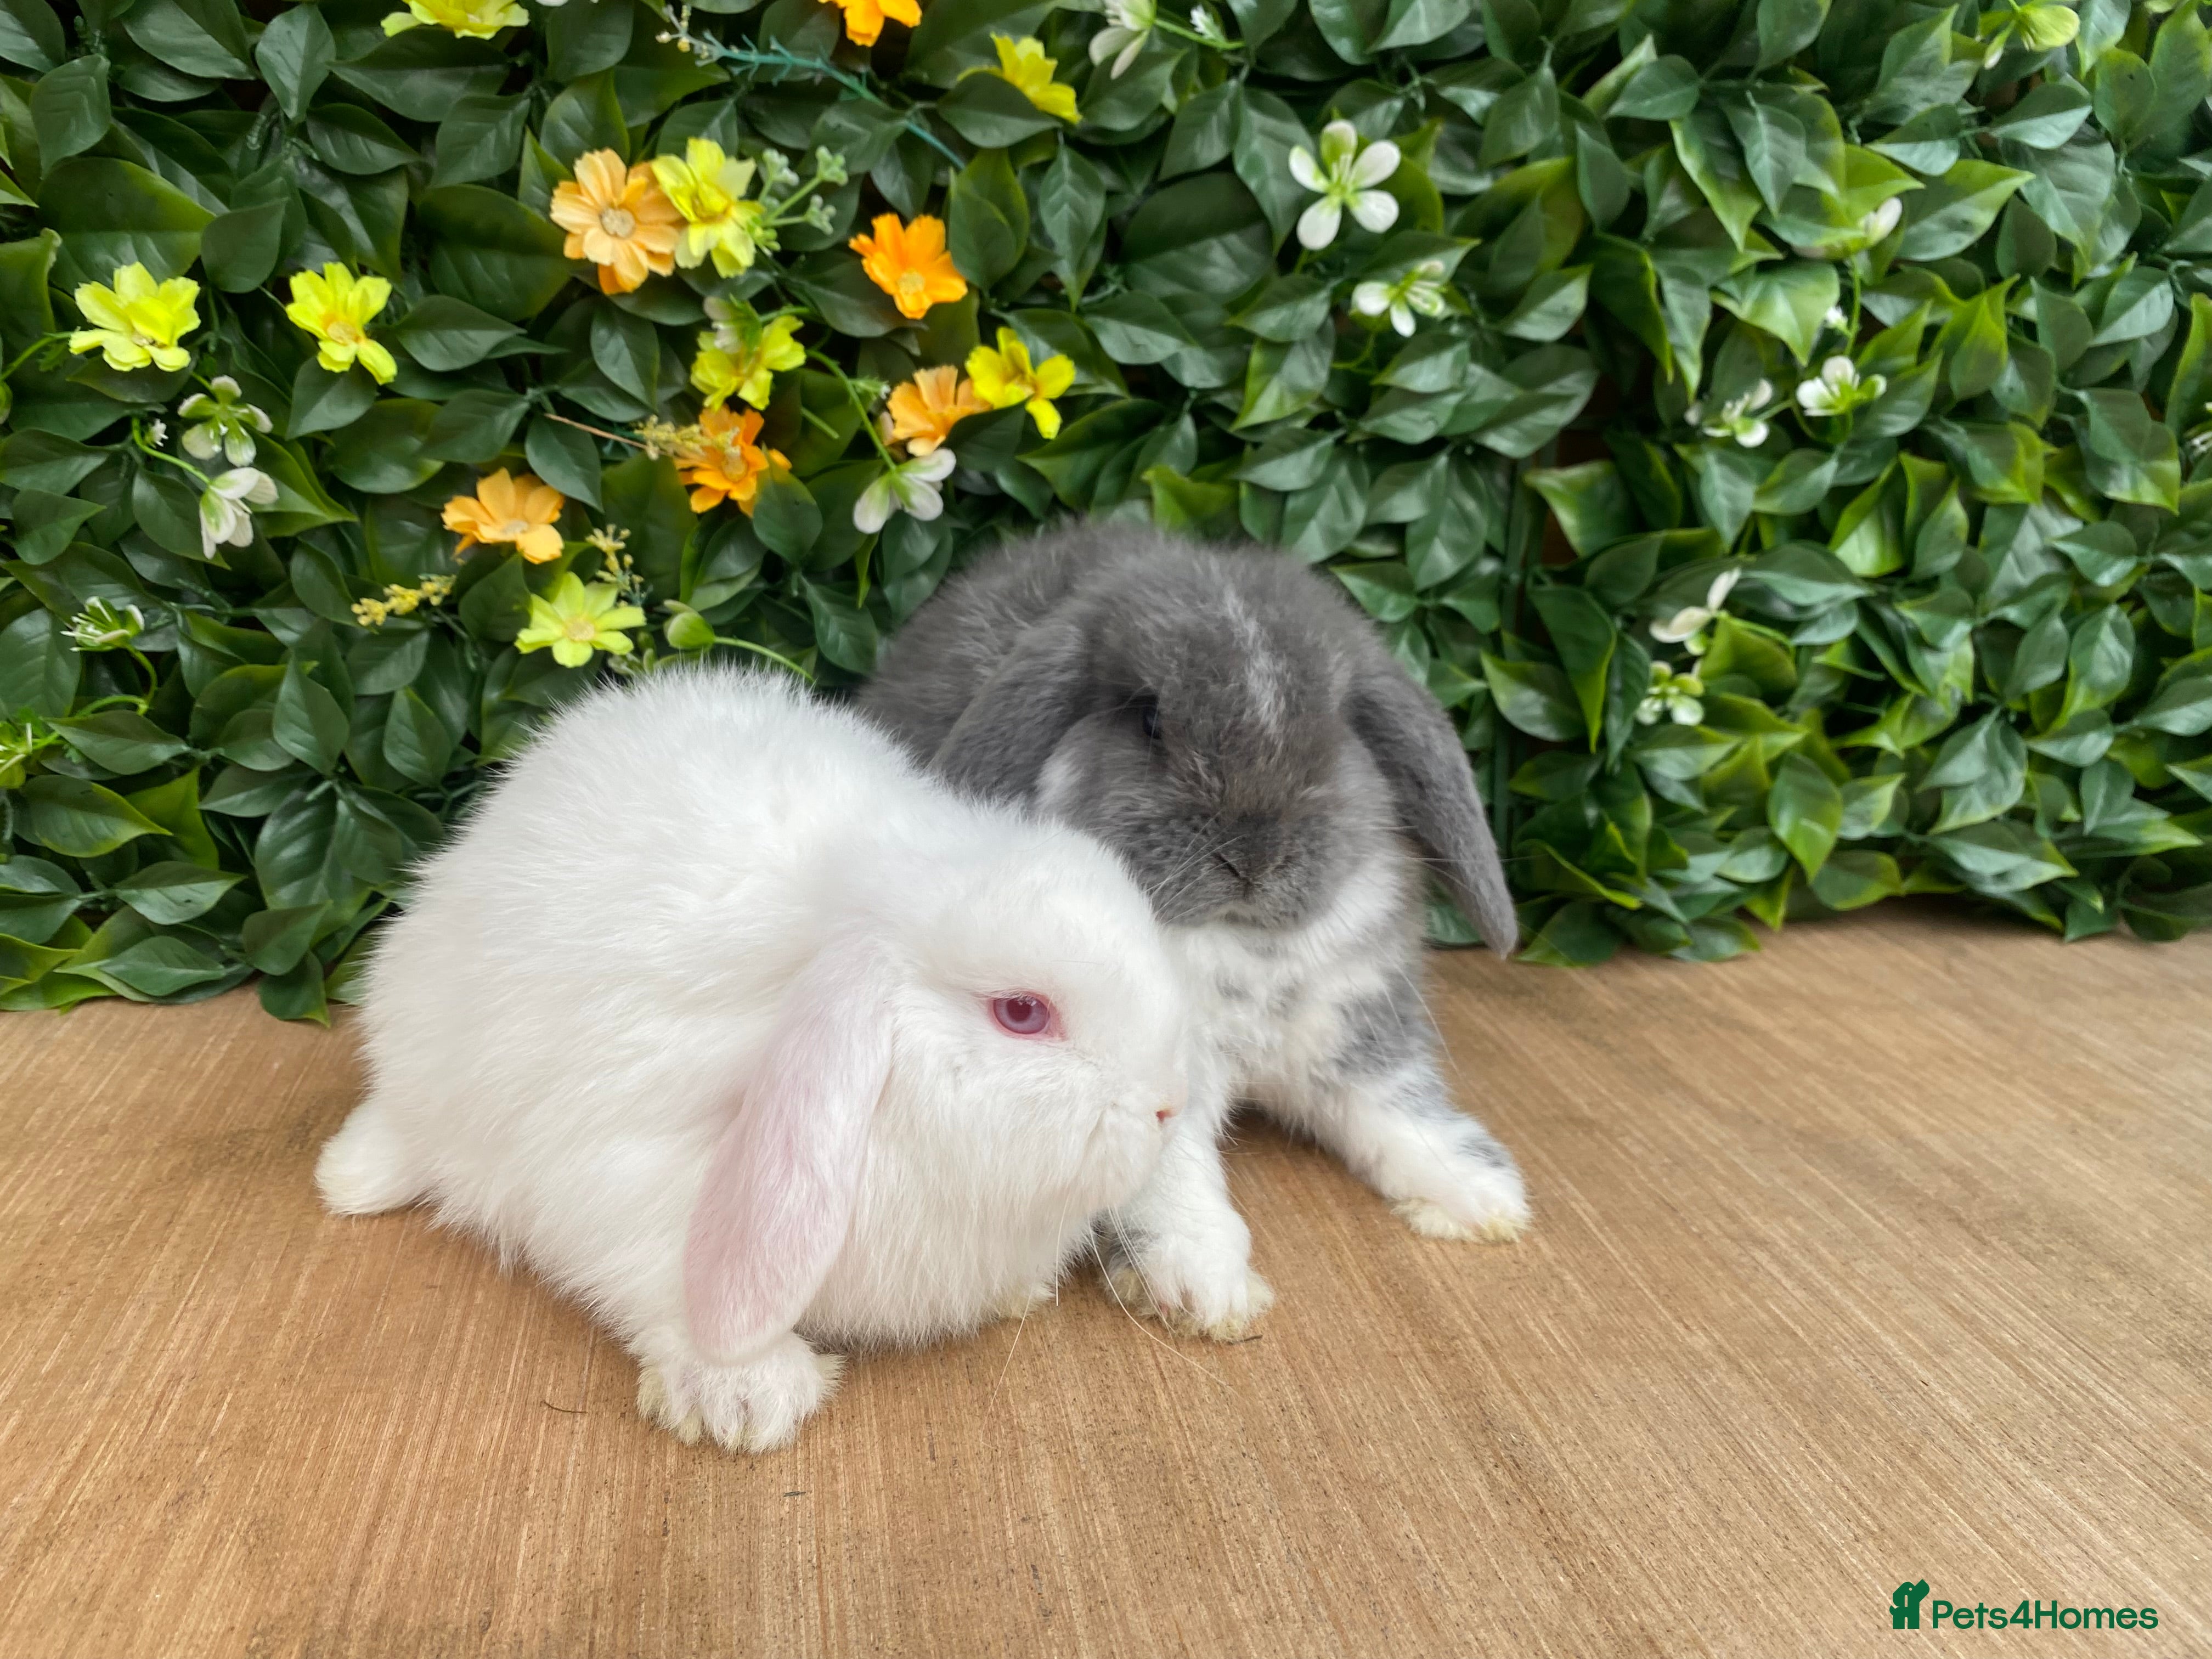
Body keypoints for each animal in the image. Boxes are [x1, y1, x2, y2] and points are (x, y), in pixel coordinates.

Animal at [315, 668, 1189, 1452]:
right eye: (1022, 1013)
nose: (1167, 1106)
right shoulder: (622, 1177)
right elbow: (661, 1280)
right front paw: (745, 1397)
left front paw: (1020, 1289)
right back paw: (351, 1180)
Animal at [858, 526, 1528, 1342]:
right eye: (1149, 718)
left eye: (1339, 726)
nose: (1254, 855)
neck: (1241, 942)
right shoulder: (1150, 1081)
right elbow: (1174, 1177)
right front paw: (1208, 1292)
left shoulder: (1357, 1029)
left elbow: (1398, 1109)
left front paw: (1480, 1196)